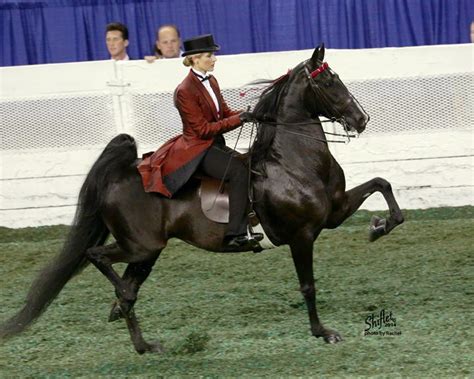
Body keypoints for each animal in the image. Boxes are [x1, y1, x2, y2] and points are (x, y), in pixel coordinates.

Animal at [0, 46, 404, 354]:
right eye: (328, 81)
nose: (362, 119)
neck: (294, 161)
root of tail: (122, 173)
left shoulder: (333, 212)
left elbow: (382, 185)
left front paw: (377, 226)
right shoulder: (302, 235)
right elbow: (308, 285)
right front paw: (323, 333)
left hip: (147, 252)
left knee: (128, 288)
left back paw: (142, 342)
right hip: (140, 247)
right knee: (97, 257)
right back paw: (120, 303)